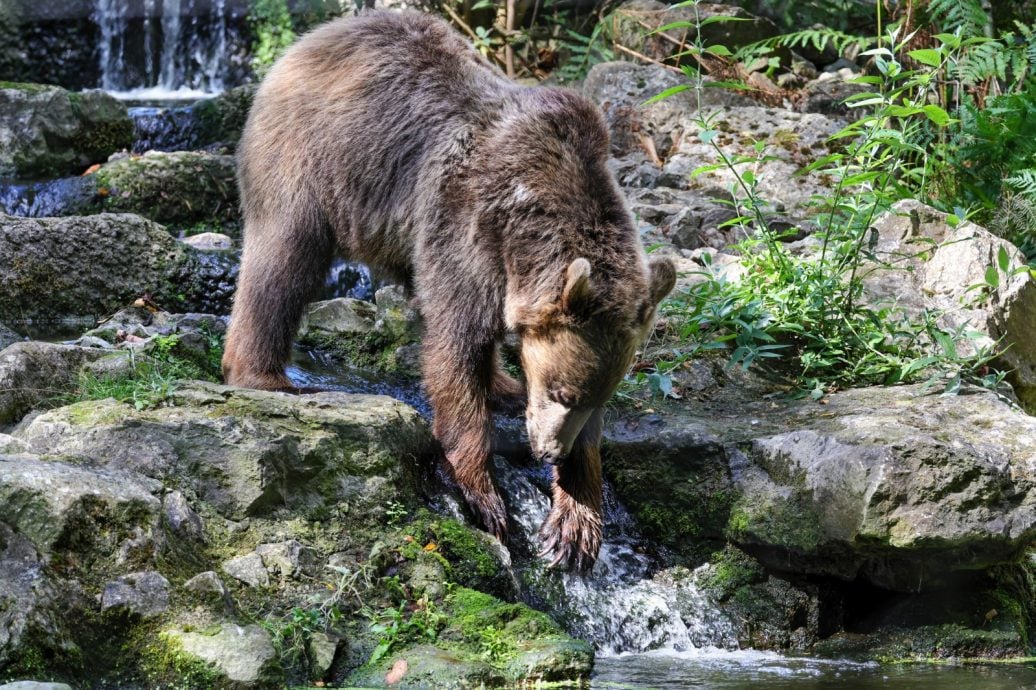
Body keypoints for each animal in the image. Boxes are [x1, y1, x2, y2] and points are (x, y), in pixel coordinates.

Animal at [224, 9, 679, 567]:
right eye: (562, 391)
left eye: (594, 398)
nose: (551, 450)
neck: (525, 226)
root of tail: (314, 38)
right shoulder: (464, 226)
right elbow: (455, 347)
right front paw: (484, 495)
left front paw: (575, 524)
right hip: (312, 161)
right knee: (284, 261)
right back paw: (265, 376)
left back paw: (504, 387)